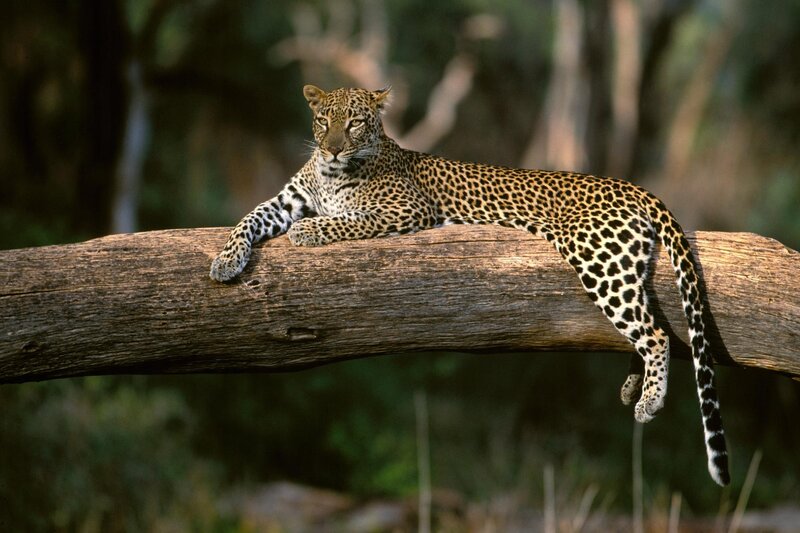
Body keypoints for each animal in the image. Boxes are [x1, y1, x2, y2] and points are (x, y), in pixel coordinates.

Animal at [210, 85, 730, 486]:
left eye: (355, 123)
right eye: (323, 121)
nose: (334, 148)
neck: (331, 172)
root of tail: (632, 186)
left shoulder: (404, 210)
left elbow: (343, 221)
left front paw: (308, 232)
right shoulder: (284, 202)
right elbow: (248, 218)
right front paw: (224, 262)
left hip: (597, 258)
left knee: (656, 332)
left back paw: (648, 402)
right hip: (621, 264)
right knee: (645, 321)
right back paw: (631, 386)